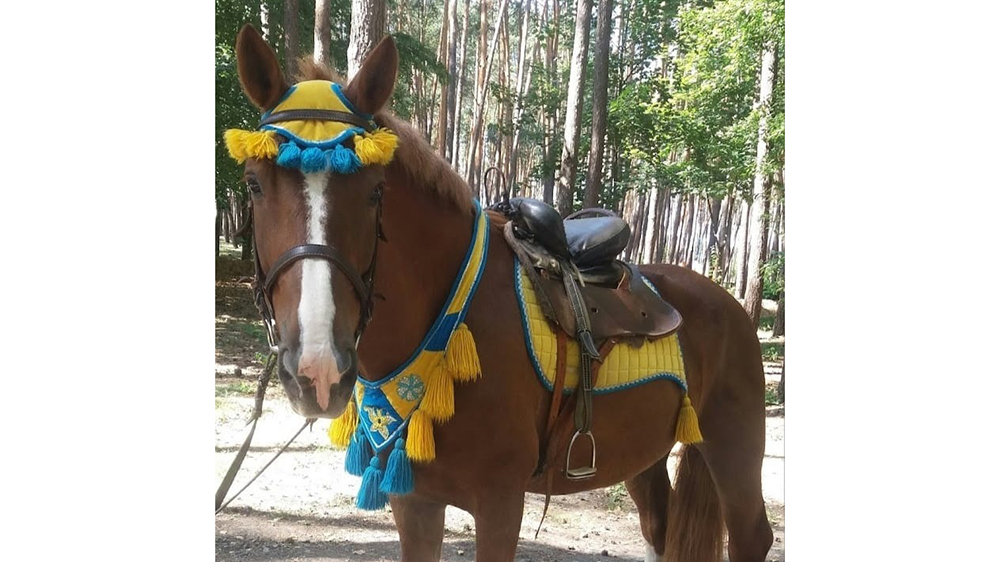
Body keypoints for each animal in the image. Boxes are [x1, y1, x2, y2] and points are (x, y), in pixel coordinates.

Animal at [225, 24, 774, 562]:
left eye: (375, 191)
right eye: (253, 184)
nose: (318, 369)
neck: (448, 319)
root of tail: (729, 303)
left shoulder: (500, 504)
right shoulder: (415, 502)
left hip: (734, 445)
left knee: (752, 536)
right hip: (645, 454)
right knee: (660, 527)